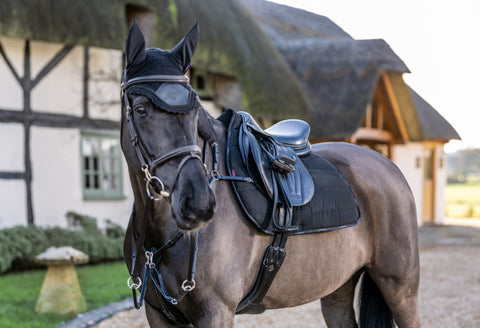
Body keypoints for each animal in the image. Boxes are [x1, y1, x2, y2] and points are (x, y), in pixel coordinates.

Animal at [120, 21, 420, 328]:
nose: (199, 203)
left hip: (400, 289)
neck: (159, 234)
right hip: (338, 290)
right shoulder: (158, 314)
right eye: (140, 109)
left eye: (195, 111)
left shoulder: (216, 313)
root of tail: (387, 165)